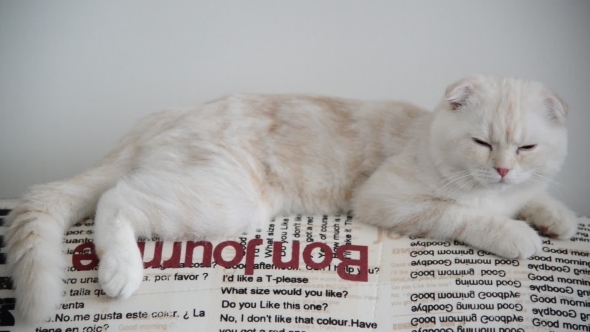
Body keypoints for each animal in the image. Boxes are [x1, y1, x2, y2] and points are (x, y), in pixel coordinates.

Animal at [4, 76, 580, 322]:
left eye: (526, 147)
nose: (502, 169)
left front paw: (558, 219)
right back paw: (120, 273)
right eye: (482, 142)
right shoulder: (388, 199)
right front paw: (520, 236)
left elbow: (534, 199)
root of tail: (161, 118)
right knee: (115, 198)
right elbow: (468, 217)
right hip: (225, 201)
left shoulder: (520, 187)